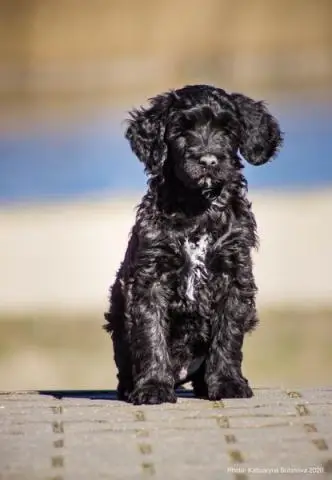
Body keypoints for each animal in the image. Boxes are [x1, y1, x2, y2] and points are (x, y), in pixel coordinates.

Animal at [104, 84, 282, 404]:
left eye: (227, 130)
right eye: (182, 131)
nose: (209, 161)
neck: (197, 207)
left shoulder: (234, 274)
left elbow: (228, 333)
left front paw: (227, 382)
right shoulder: (149, 278)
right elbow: (151, 333)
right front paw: (153, 386)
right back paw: (132, 386)